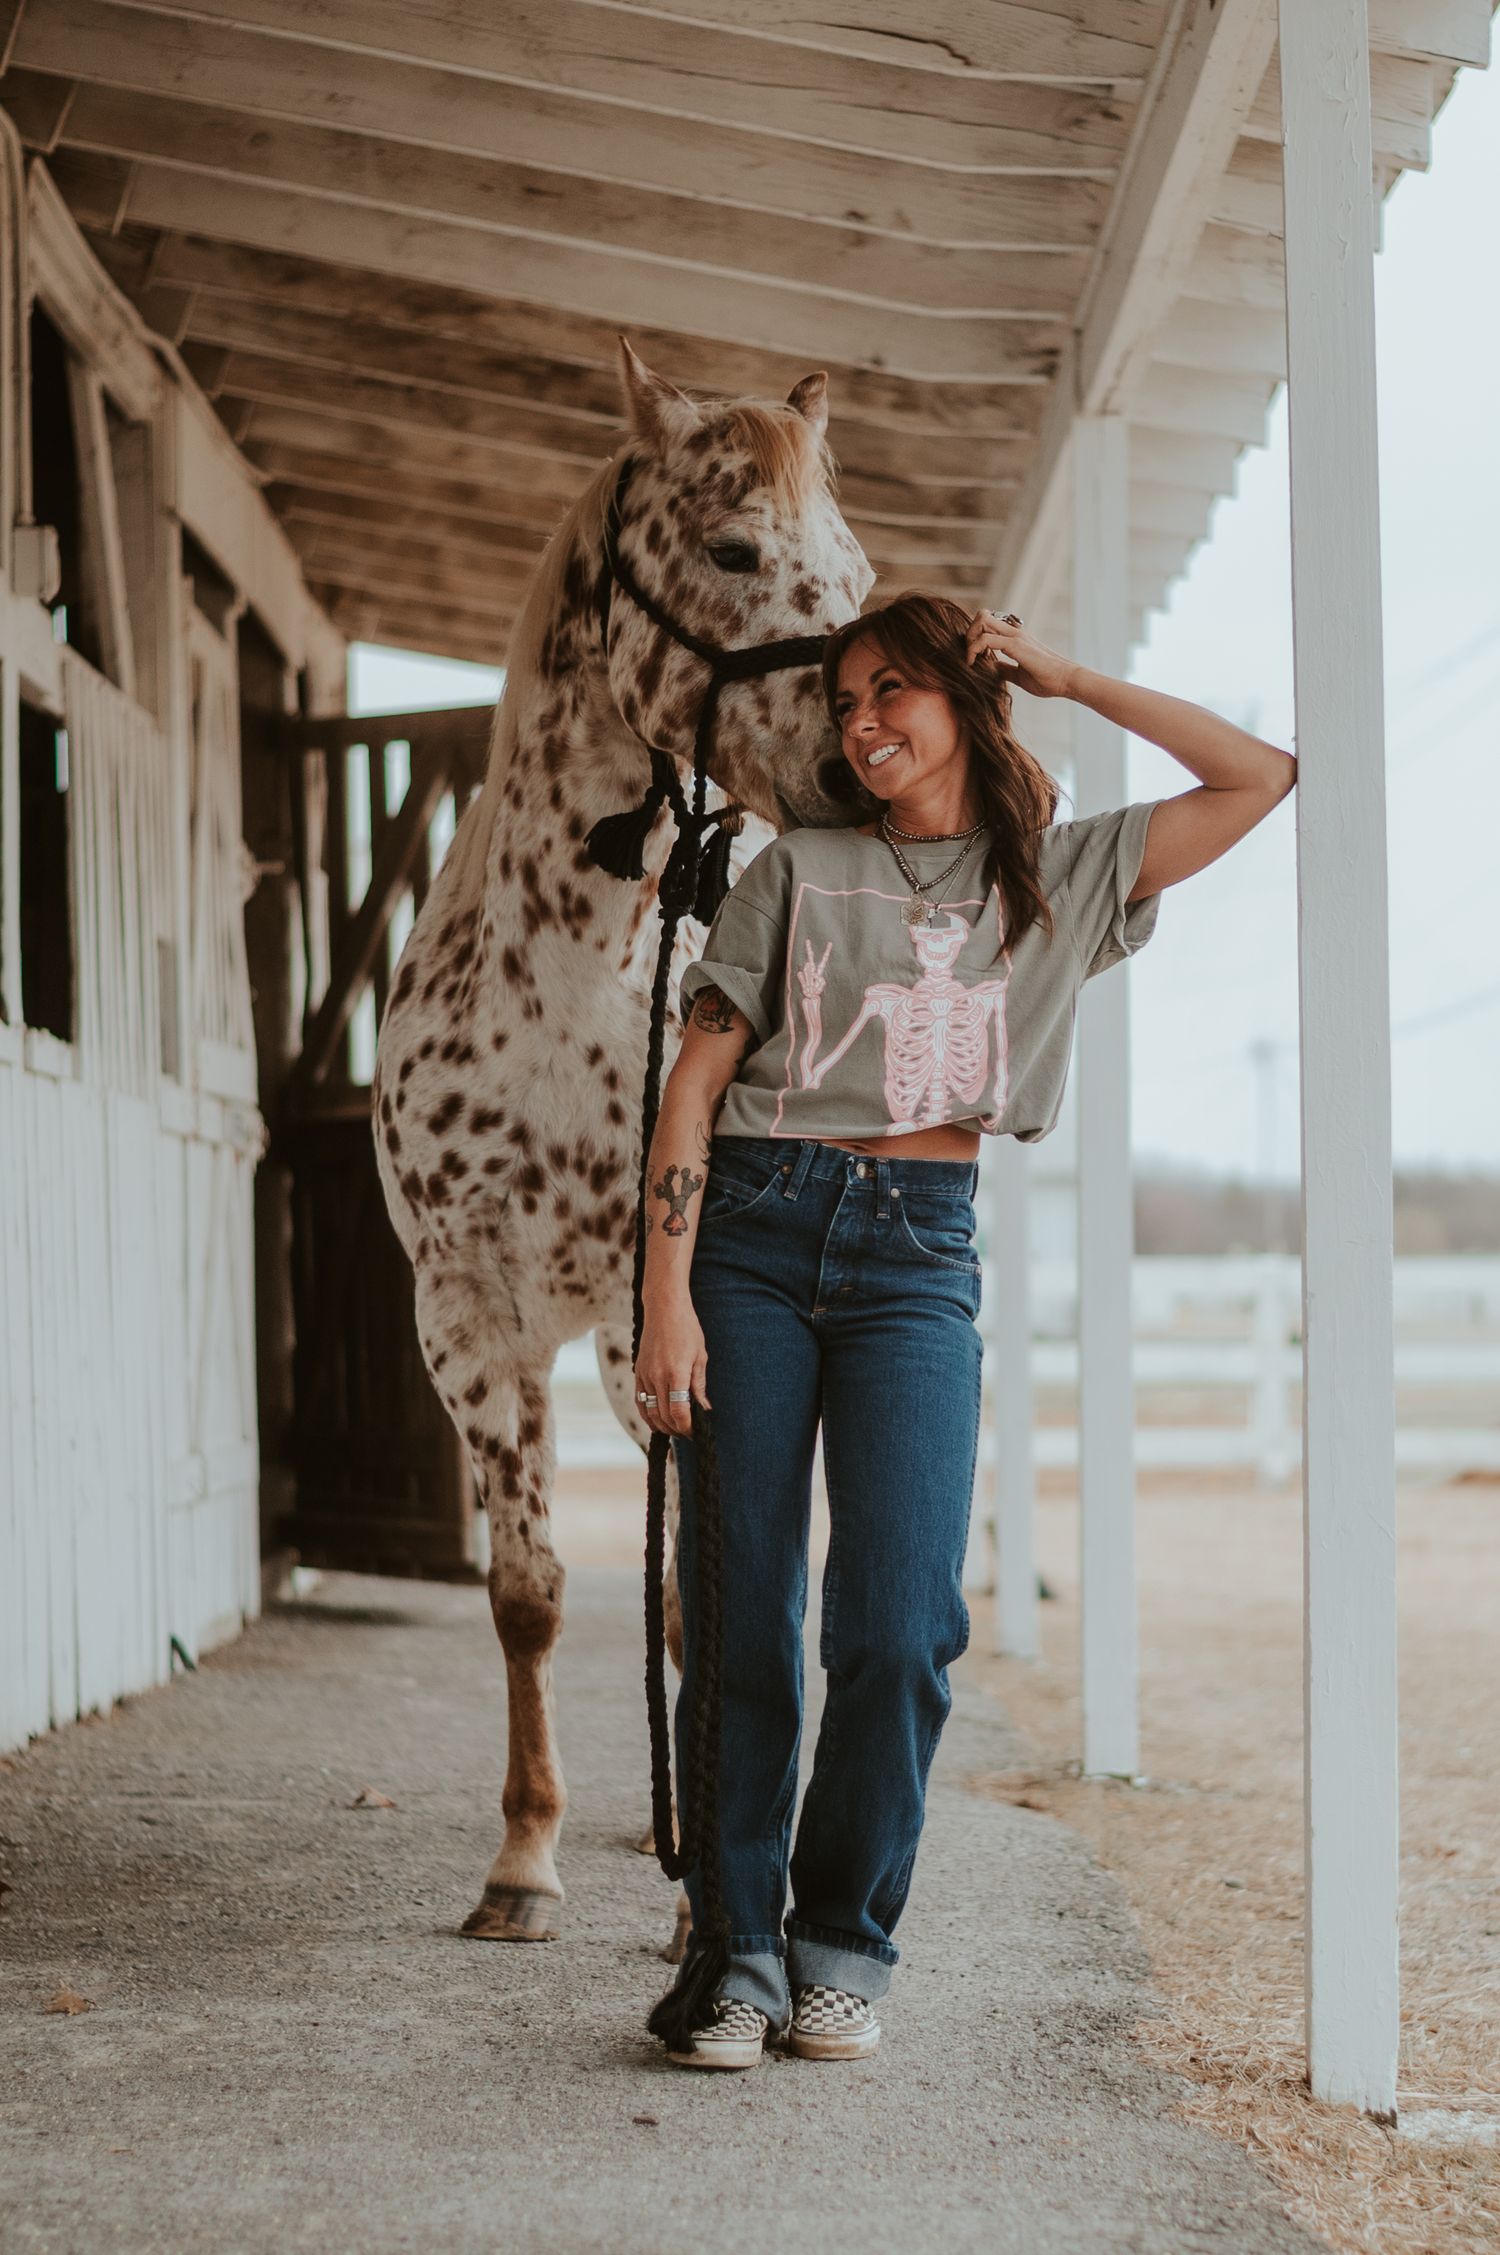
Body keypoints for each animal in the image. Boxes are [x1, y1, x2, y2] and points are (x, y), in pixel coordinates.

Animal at [371, 341, 873, 1946]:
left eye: (858, 570)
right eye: (733, 550)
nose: (864, 763)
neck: (577, 977)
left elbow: (711, 1598)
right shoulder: (469, 1316)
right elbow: (530, 1591)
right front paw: (521, 1860)